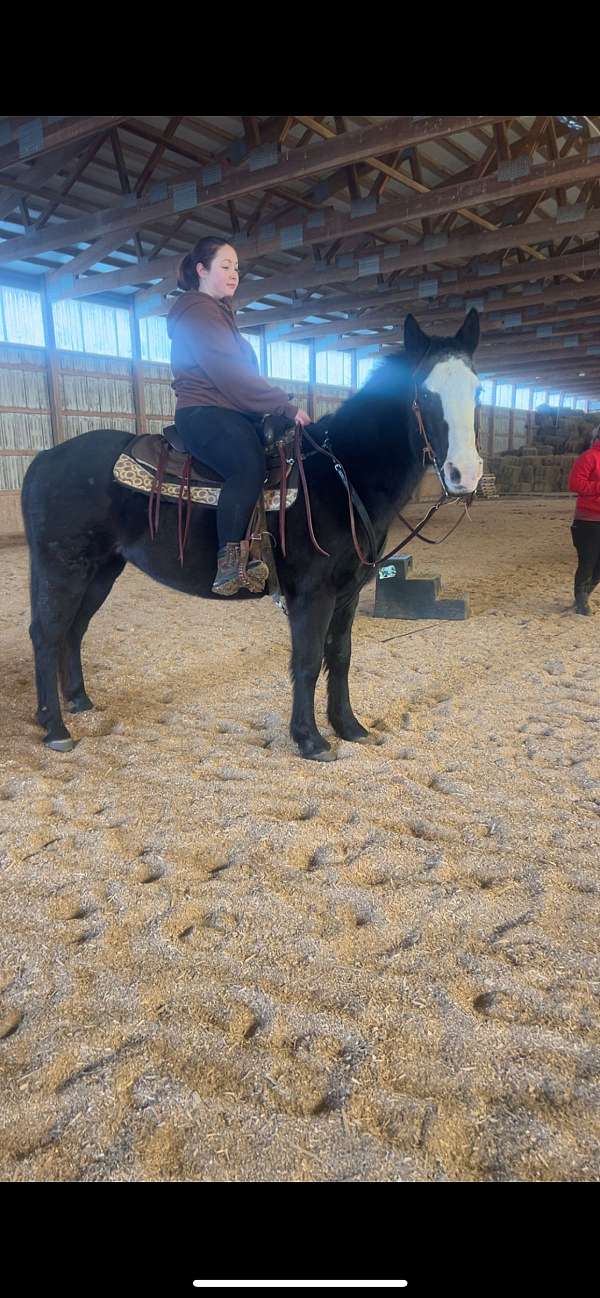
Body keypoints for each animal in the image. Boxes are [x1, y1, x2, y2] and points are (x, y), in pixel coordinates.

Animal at [20, 308, 482, 760]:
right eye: (425, 394)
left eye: (477, 392)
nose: (465, 474)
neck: (342, 474)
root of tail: (44, 457)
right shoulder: (313, 594)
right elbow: (308, 660)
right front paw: (310, 739)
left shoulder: (348, 592)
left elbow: (340, 655)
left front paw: (348, 726)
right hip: (63, 569)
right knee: (46, 635)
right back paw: (55, 728)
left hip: (101, 570)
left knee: (74, 630)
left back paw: (79, 701)